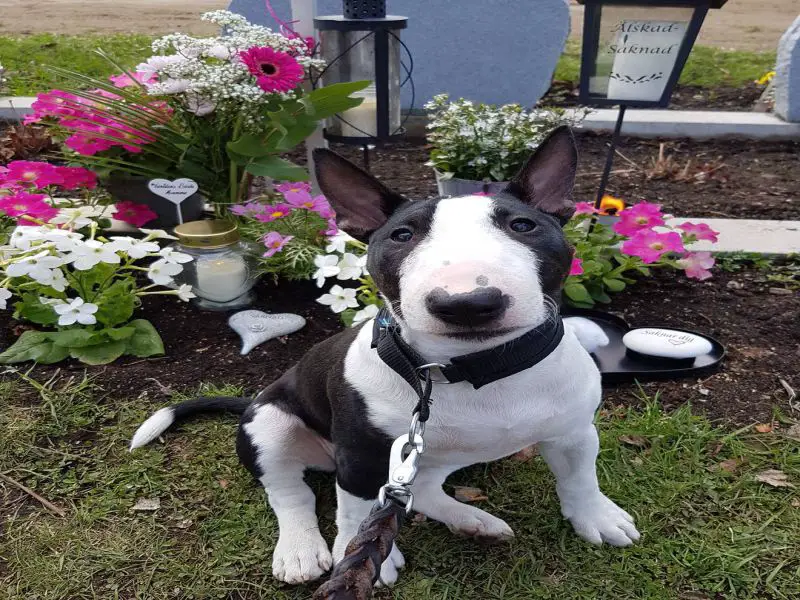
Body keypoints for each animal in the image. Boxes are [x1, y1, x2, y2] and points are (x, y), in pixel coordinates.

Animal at [134, 127, 640, 584]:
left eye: (522, 225)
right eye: (401, 235)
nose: (467, 303)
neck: (472, 368)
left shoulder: (574, 431)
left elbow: (580, 478)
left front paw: (597, 518)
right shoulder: (359, 455)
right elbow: (355, 510)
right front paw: (358, 556)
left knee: (426, 488)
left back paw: (472, 521)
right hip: (271, 424)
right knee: (289, 492)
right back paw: (300, 551)